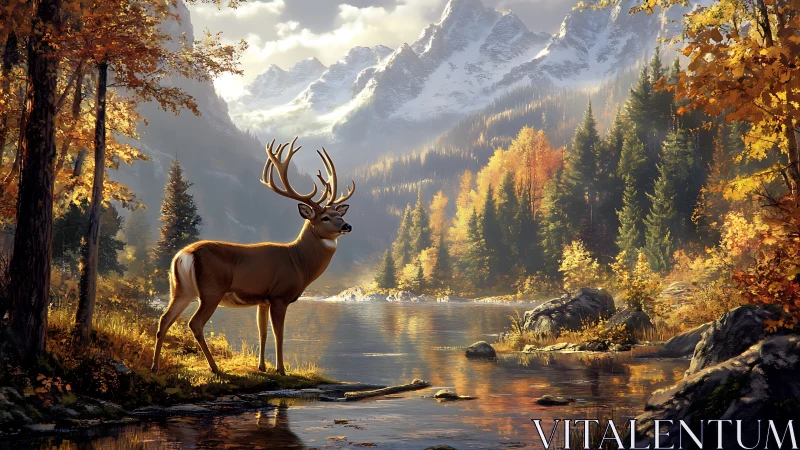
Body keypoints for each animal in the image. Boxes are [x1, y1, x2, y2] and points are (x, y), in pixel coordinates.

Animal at [150, 137, 355, 376]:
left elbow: (262, 332)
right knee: (195, 323)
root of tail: (183, 255)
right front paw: (281, 370)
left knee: (164, 320)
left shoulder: (262, 300)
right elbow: (279, 334)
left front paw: (262, 367)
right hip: (211, 290)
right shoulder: (279, 296)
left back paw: (155, 366)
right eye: (325, 218)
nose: (347, 226)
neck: (299, 262)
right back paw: (215, 368)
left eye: (339, 214)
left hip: (181, 290)